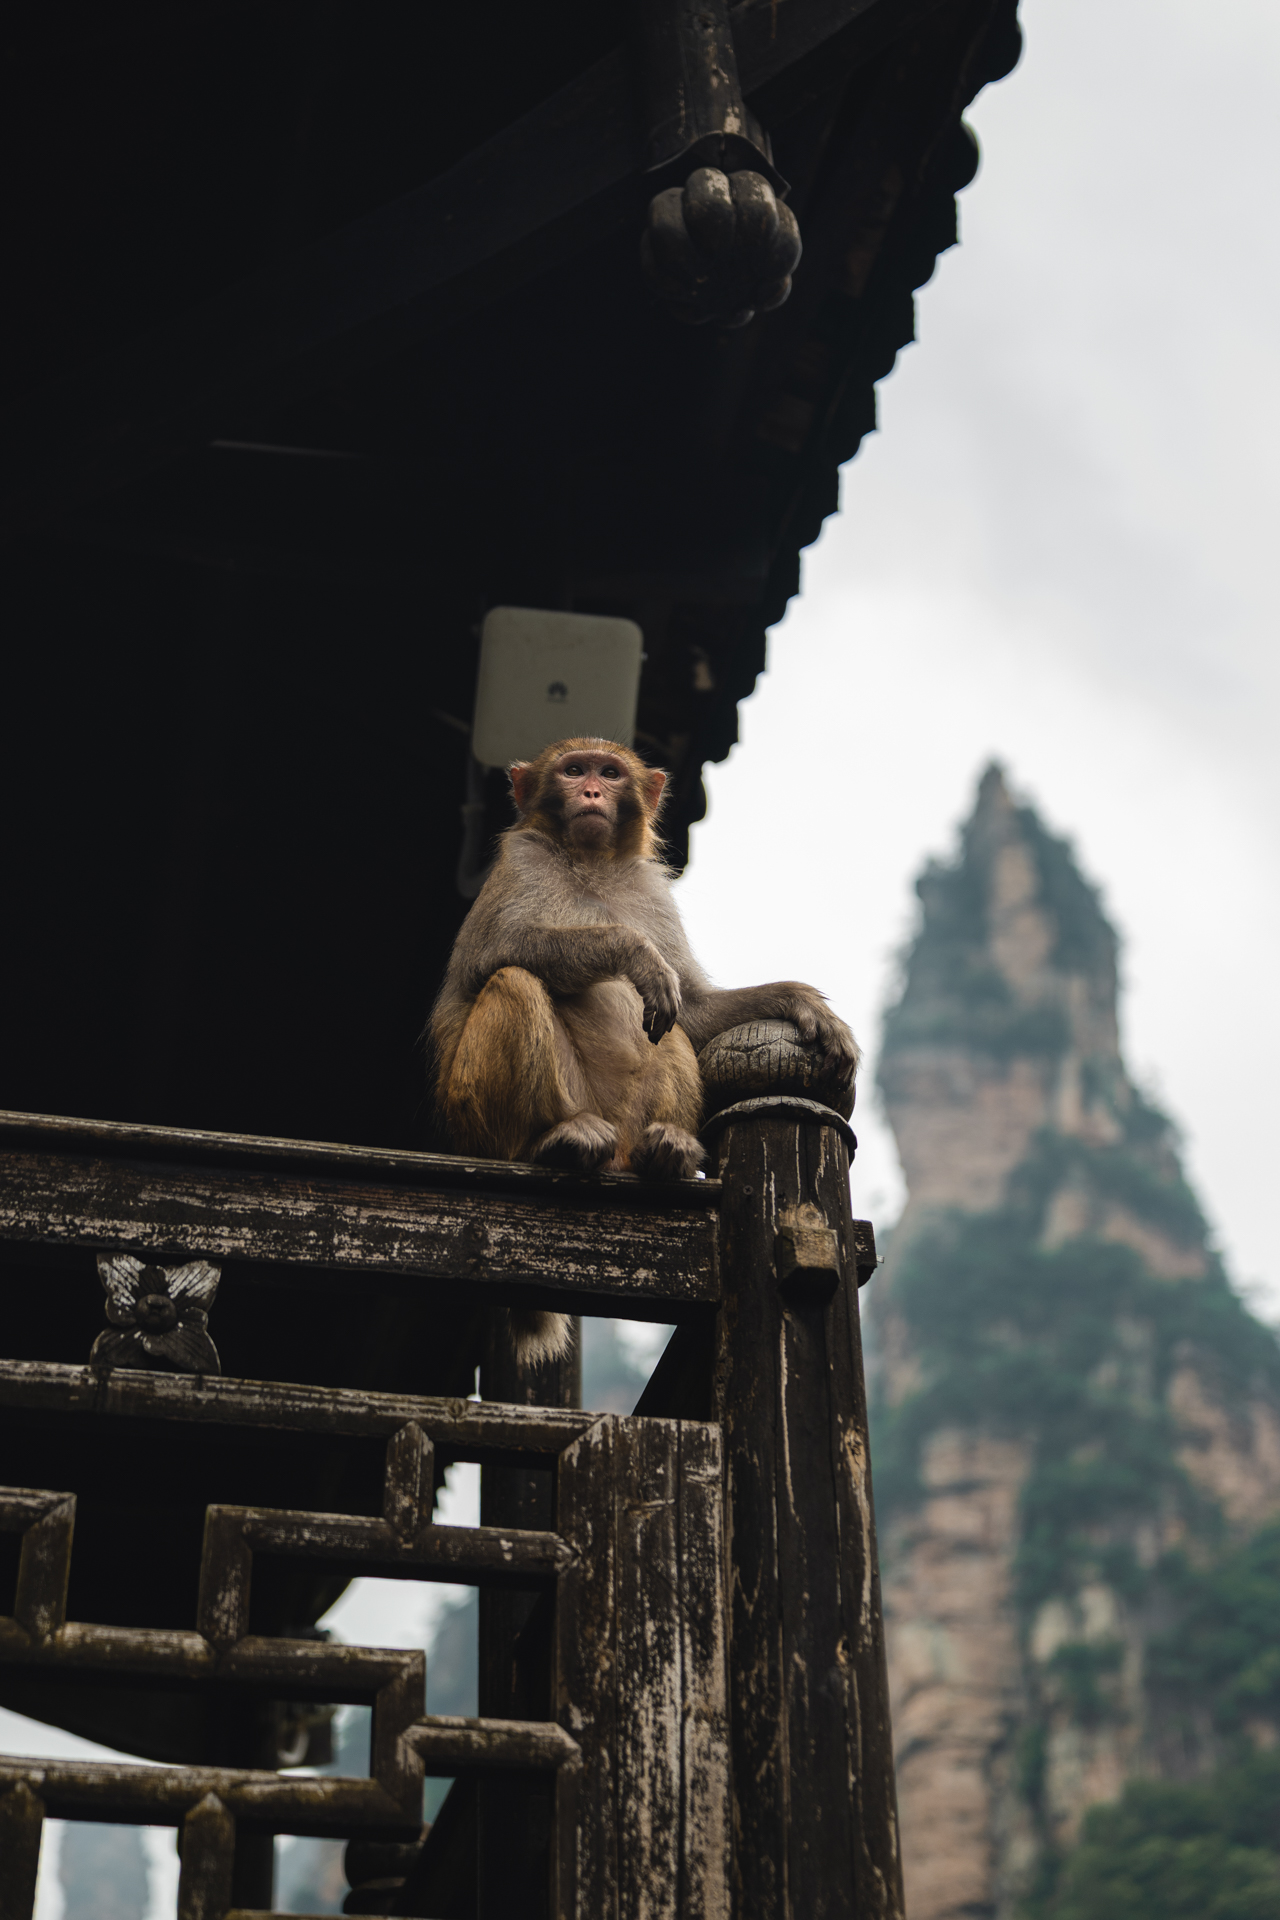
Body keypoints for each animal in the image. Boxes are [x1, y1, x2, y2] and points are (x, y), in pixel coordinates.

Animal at [429, 737, 859, 1366]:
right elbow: (495, 953)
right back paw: (553, 1141)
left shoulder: (651, 891)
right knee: (516, 980)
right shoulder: (520, 863)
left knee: (671, 1029)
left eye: (609, 773)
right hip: (475, 1118)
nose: (590, 791)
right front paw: (633, 953)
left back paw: (668, 1150)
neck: (592, 865)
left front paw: (802, 1002)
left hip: (626, 1126)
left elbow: (695, 1010)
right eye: (573, 770)